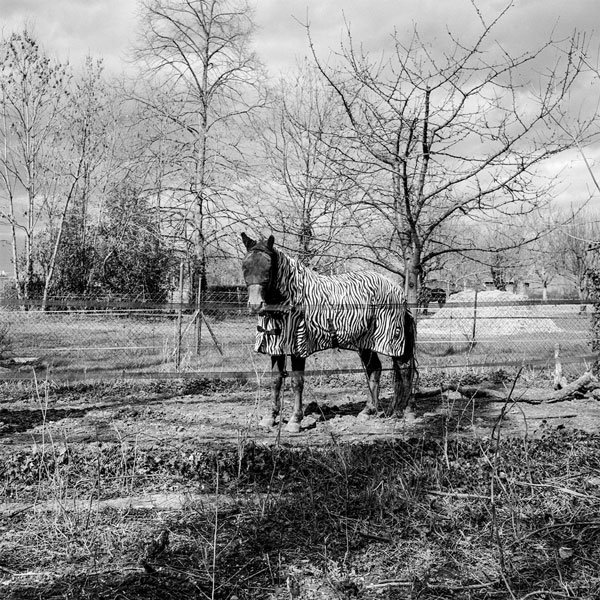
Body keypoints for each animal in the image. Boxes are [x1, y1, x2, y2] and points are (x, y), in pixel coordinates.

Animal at [240, 232, 418, 434]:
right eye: (245, 266)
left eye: (268, 268)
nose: (255, 305)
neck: (291, 299)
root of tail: (399, 292)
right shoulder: (275, 349)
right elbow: (276, 381)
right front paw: (270, 418)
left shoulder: (298, 348)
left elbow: (297, 383)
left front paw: (295, 420)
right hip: (366, 343)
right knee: (375, 370)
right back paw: (368, 411)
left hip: (393, 342)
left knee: (405, 370)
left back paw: (407, 412)